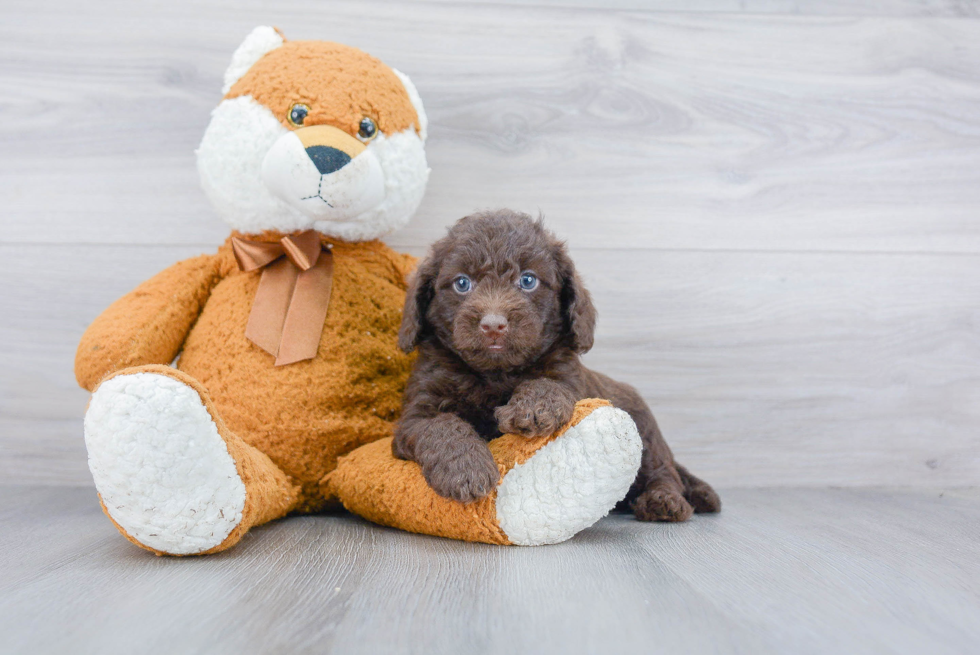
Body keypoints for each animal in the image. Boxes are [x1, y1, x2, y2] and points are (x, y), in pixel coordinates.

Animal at [392, 210, 720, 524]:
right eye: (462, 283)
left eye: (528, 280)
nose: (493, 325)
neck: (495, 374)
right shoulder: (414, 417)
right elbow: (441, 425)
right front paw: (466, 469)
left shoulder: (569, 378)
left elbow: (548, 383)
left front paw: (533, 408)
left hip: (645, 431)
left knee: (663, 471)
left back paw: (664, 501)